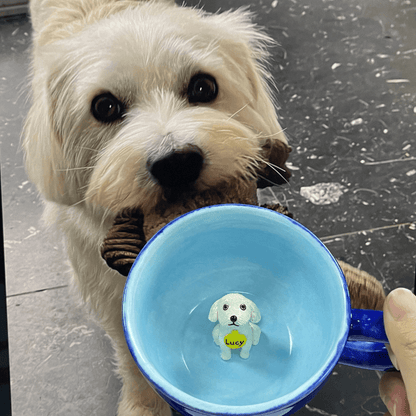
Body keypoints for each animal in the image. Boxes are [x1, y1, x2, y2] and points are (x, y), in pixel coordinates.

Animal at [22, 0, 290, 412]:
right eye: (104, 106)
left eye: (203, 86)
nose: (176, 163)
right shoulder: (104, 285)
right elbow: (131, 352)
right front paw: (143, 406)